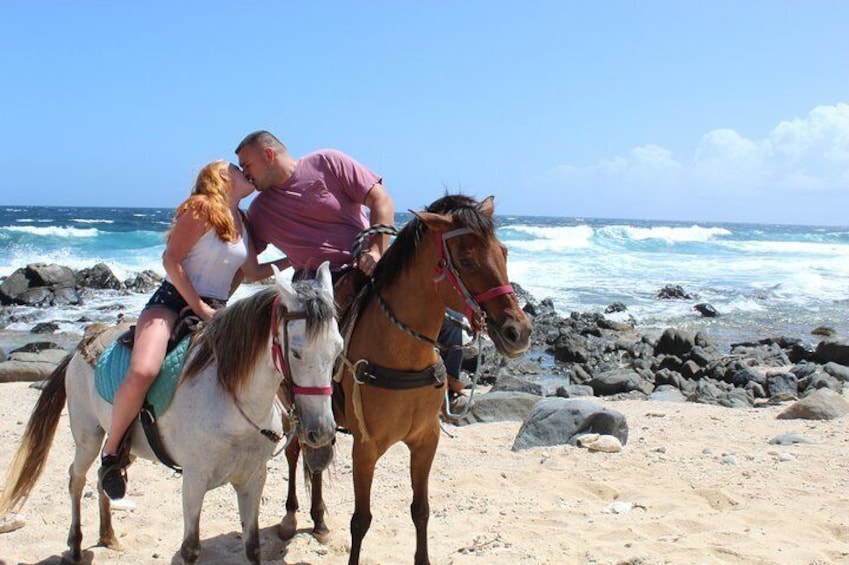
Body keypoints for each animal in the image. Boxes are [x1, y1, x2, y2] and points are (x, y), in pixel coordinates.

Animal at [1, 264, 344, 564]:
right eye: (296, 352)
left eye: (338, 349)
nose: (321, 432)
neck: (231, 407)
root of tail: (80, 347)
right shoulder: (193, 481)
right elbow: (190, 549)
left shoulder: (252, 480)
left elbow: (253, 547)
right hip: (88, 436)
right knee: (77, 478)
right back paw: (75, 546)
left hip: (122, 443)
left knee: (103, 476)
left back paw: (109, 536)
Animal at [278, 193, 528, 560]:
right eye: (466, 261)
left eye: (504, 252)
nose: (518, 332)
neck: (403, 358)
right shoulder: (365, 448)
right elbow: (361, 520)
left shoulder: (426, 441)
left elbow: (420, 510)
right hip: (292, 411)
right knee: (294, 455)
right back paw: (291, 516)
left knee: (317, 458)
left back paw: (320, 520)